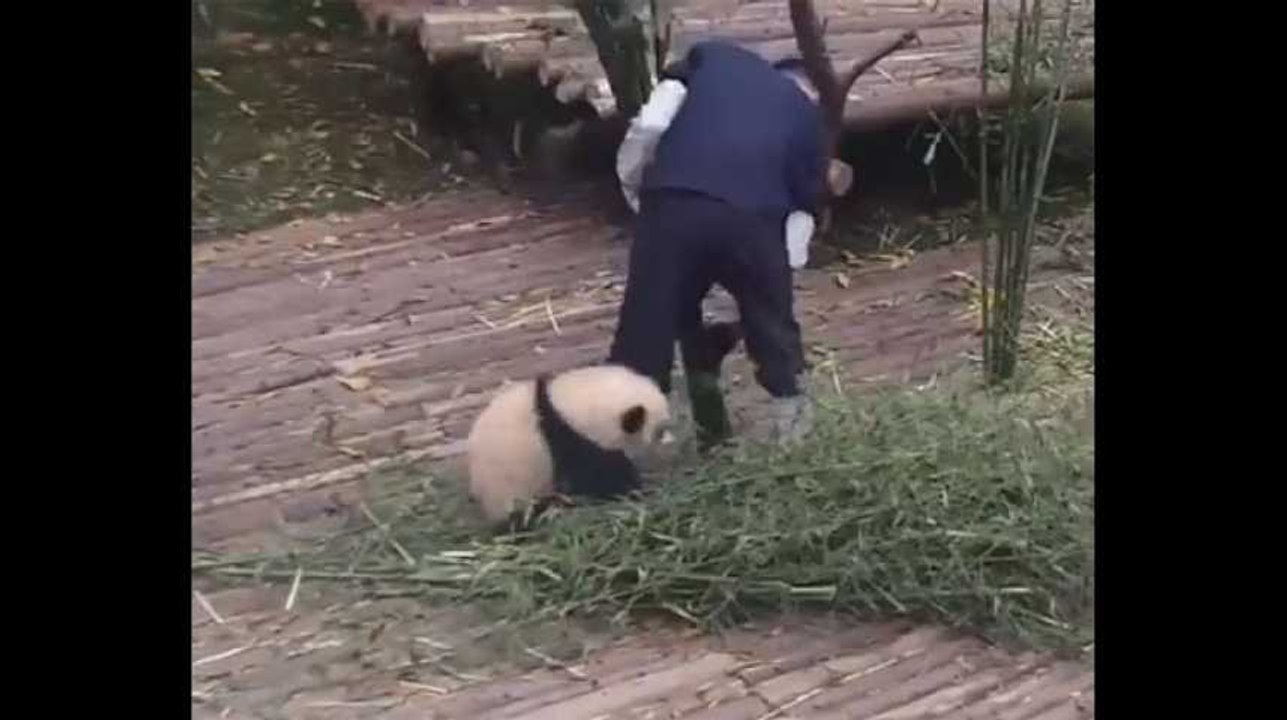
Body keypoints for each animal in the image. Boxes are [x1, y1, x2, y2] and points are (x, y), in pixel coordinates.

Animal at [466, 364, 673, 529]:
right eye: (659, 431)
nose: (670, 442)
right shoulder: (569, 439)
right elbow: (600, 478)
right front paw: (636, 491)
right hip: (512, 488)